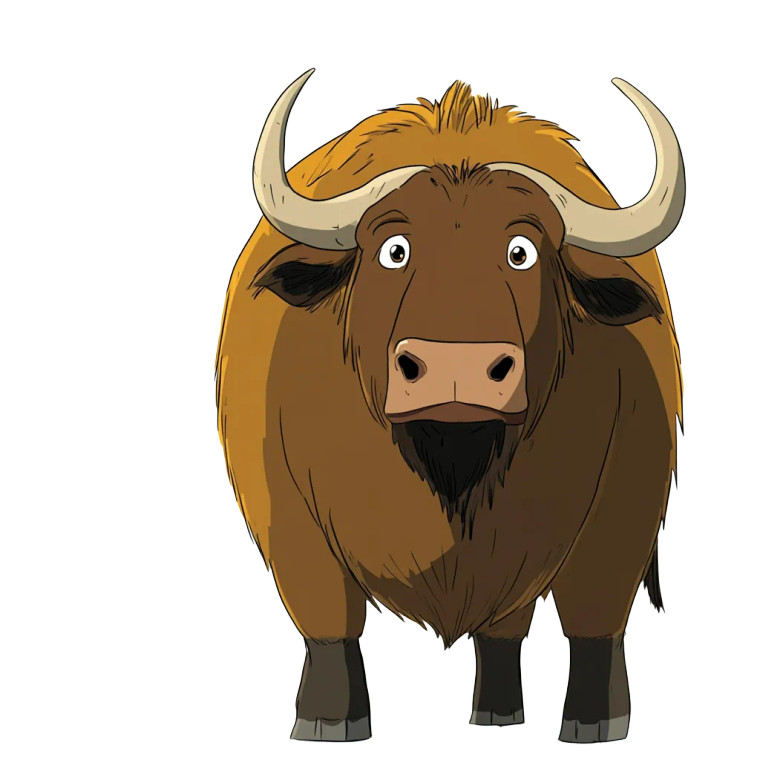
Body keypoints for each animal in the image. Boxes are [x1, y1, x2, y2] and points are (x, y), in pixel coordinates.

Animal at [215, 69, 684, 743]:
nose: (457, 370)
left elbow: (592, 617)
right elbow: (328, 621)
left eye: (522, 251)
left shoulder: (619, 506)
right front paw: (329, 721)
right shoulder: (291, 515)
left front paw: (594, 723)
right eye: (394, 249)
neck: (454, 465)